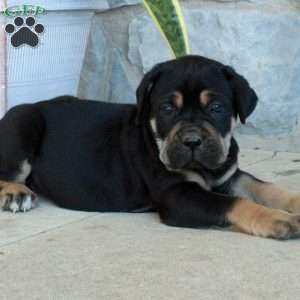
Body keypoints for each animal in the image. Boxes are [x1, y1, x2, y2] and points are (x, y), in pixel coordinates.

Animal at [0, 55, 300, 239]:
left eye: (216, 108)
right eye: (167, 109)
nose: (192, 141)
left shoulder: (230, 176)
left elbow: (264, 187)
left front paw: (293, 201)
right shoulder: (179, 196)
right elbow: (234, 203)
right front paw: (278, 219)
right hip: (23, 121)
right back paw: (16, 192)